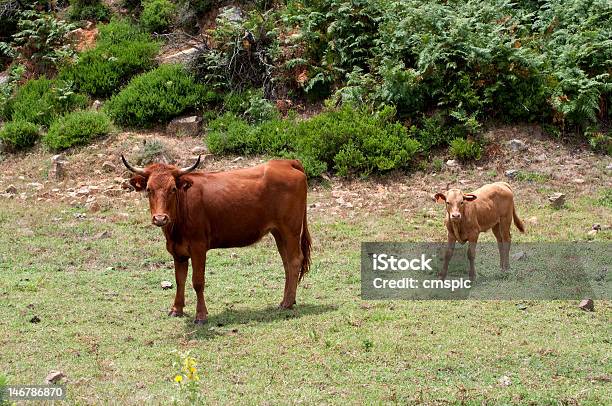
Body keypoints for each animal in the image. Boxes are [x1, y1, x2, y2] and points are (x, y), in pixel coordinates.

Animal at [121, 155, 310, 324]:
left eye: (173, 189)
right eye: (149, 190)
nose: (160, 218)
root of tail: (286, 162)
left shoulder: (198, 247)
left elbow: (197, 282)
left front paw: (201, 316)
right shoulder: (178, 252)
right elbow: (179, 280)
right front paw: (176, 309)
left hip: (290, 229)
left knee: (294, 260)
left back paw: (287, 303)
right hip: (278, 232)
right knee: (286, 262)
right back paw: (287, 300)